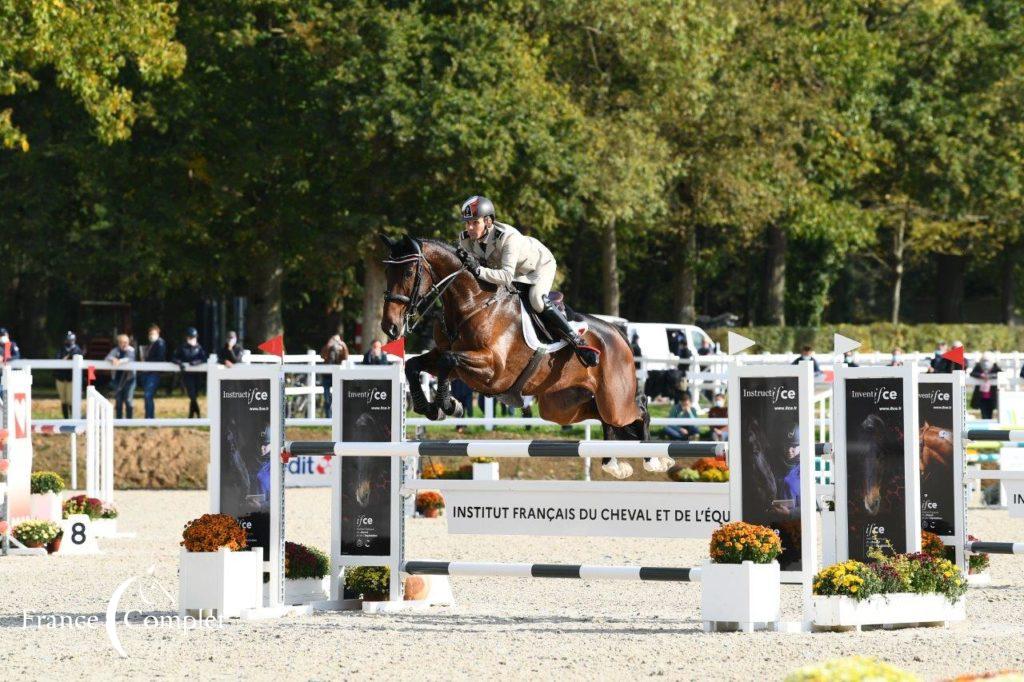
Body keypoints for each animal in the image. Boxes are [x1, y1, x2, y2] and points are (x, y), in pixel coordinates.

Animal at [378, 233, 671, 477]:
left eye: (408, 272)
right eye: (387, 271)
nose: (390, 327)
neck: (472, 303)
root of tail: (619, 334)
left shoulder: (492, 369)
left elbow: (447, 361)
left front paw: (447, 405)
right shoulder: (449, 356)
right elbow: (415, 364)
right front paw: (431, 407)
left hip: (614, 400)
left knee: (639, 408)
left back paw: (655, 460)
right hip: (562, 406)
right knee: (603, 417)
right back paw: (612, 463)